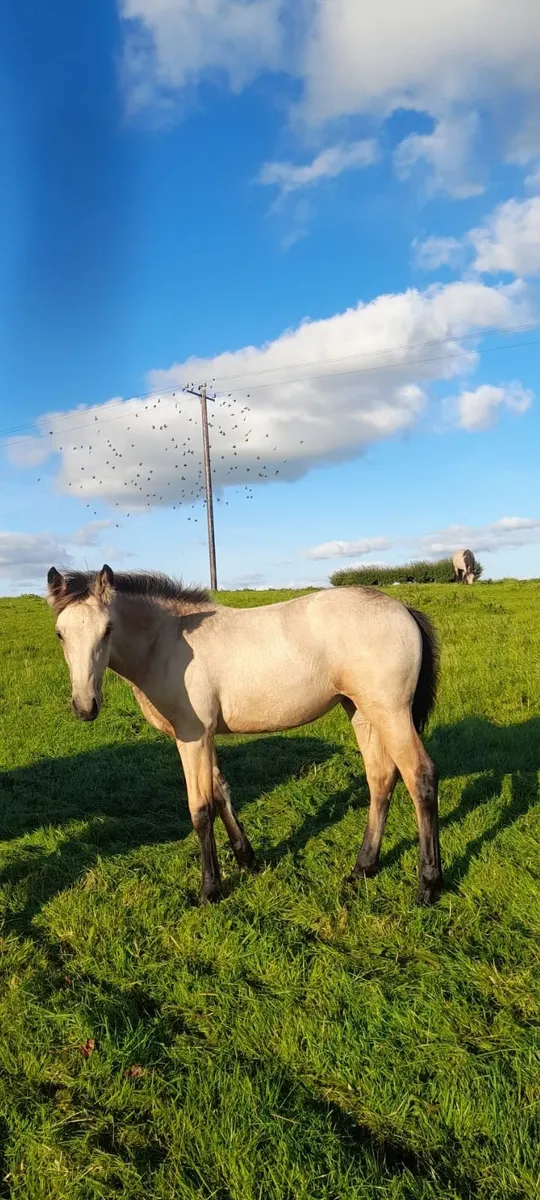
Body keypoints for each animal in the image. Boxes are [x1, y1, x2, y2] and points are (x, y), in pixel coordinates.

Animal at [47, 565, 443, 907]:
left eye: (108, 630)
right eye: (60, 634)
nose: (85, 706)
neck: (169, 641)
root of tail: (402, 607)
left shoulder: (192, 736)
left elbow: (200, 809)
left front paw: (209, 890)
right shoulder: (205, 736)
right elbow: (221, 793)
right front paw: (248, 860)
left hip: (391, 713)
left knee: (420, 777)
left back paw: (428, 885)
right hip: (361, 712)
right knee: (381, 778)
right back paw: (363, 868)